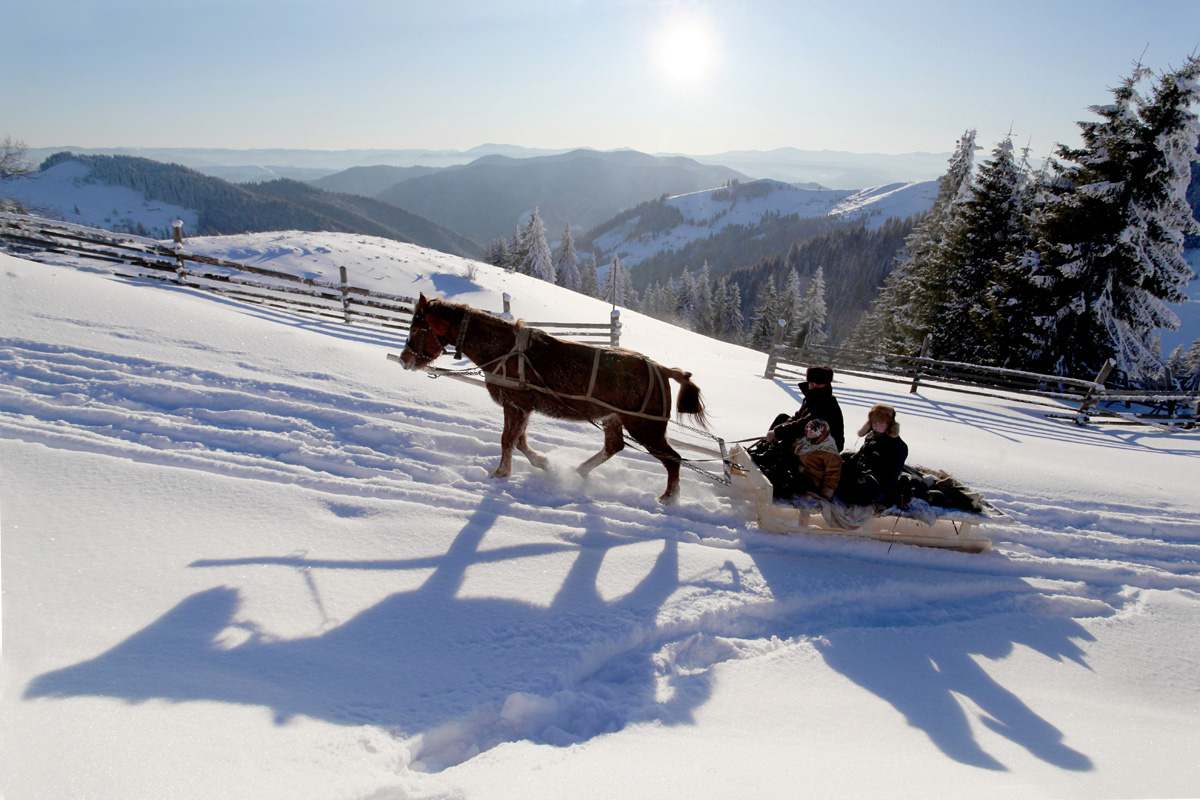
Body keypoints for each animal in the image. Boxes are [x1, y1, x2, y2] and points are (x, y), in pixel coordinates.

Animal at [398, 293, 705, 503]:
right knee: (615, 446)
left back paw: (670, 499)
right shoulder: (522, 407)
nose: (404, 359)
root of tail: (662, 368)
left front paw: (501, 473)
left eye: (417, 329)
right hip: (614, 418)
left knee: (673, 459)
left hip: (645, 427)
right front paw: (544, 463)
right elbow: (519, 441)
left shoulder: (515, 403)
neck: (504, 349)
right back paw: (579, 471)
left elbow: (507, 440)